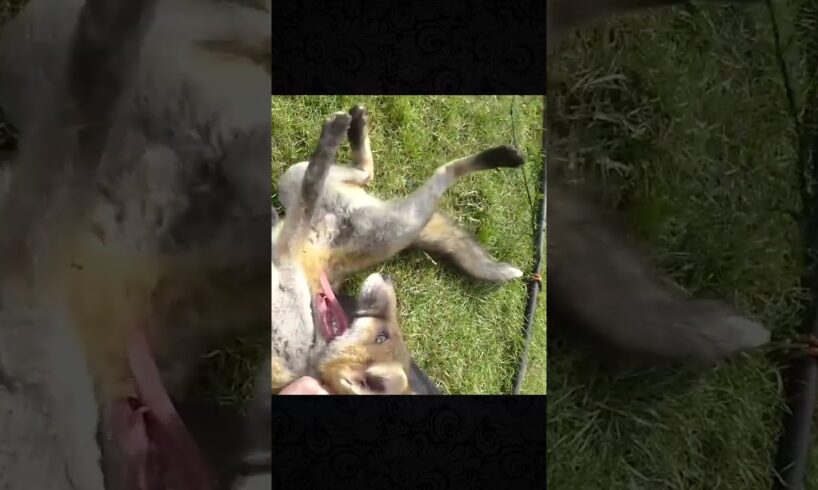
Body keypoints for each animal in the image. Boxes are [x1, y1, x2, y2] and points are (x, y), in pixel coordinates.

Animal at [271, 107, 525, 394]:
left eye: (384, 336)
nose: (386, 278)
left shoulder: (285, 260)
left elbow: (310, 191)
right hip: (292, 178)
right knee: (362, 173)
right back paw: (356, 126)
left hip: (398, 218)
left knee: (442, 172)